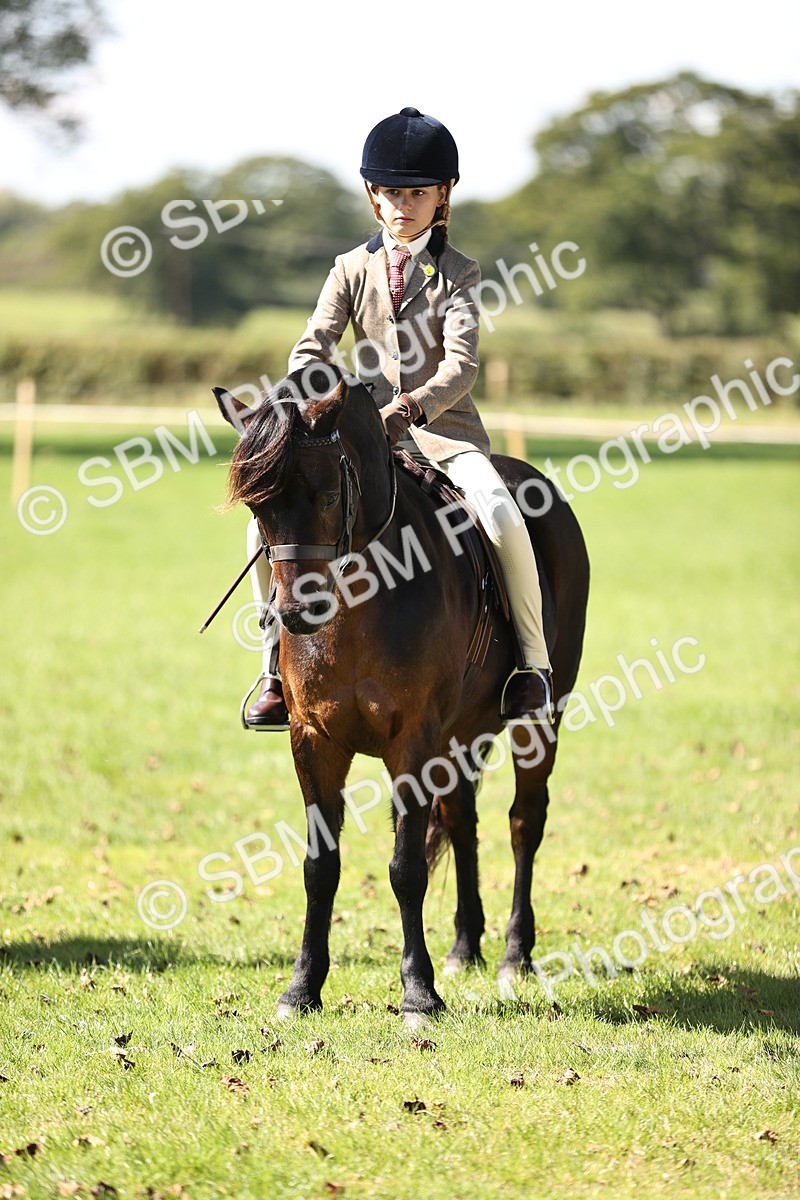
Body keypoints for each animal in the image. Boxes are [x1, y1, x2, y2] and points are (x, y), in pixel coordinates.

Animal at [216, 365, 590, 1019]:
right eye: (258, 508)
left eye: (329, 495)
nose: (295, 614)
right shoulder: (313, 740)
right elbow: (320, 866)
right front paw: (302, 987)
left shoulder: (411, 740)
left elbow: (406, 866)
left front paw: (418, 990)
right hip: (463, 731)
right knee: (463, 817)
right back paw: (465, 947)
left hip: (539, 720)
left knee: (525, 821)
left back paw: (516, 955)